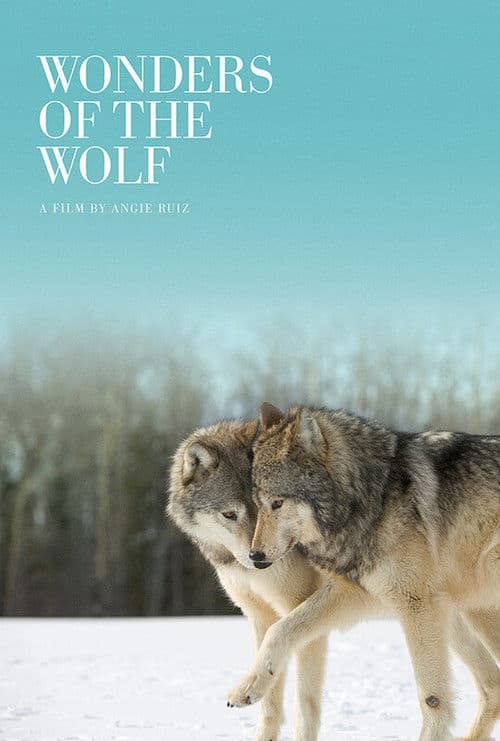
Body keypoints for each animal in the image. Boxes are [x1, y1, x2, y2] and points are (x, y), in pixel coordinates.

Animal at [167, 418, 329, 741]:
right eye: (230, 514)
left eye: (274, 505)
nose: (260, 559)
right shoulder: (261, 616)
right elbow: (269, 702)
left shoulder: (301, 614)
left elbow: (305, 706)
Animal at [228, 403, 500, 741]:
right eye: (258, 504)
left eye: (277, 503)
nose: (255, 556)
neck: (372, 498)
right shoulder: (357, 594)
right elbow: (280, 629)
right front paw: (248, 687)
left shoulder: (415, 605)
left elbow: (432, 698)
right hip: (462, 616)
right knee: (493, 684)